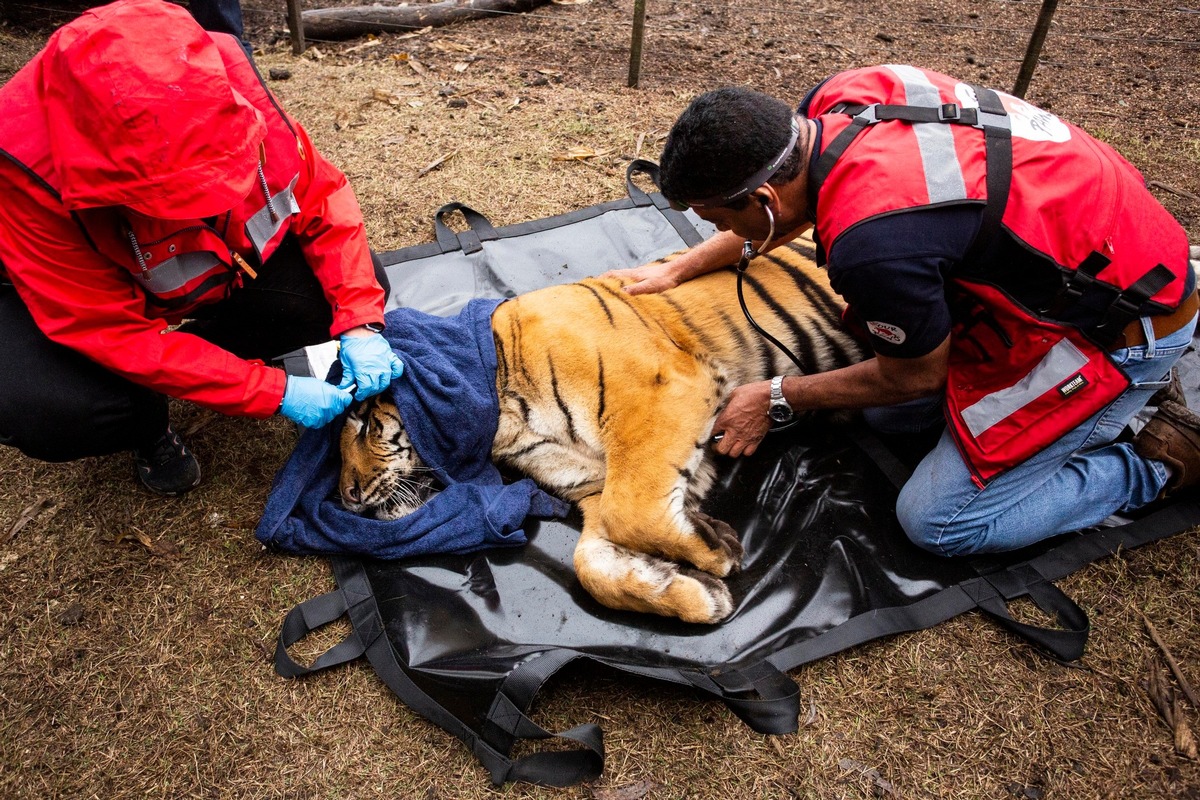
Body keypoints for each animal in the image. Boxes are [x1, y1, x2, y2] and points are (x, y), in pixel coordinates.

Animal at [338, 239, 864, 623]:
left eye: (363, 423)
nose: (346, 497)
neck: (504, 418)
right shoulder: (590, 480)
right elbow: (593, 558)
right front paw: (695, 587)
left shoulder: (665, 389)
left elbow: (632, 511)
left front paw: (716, 552)